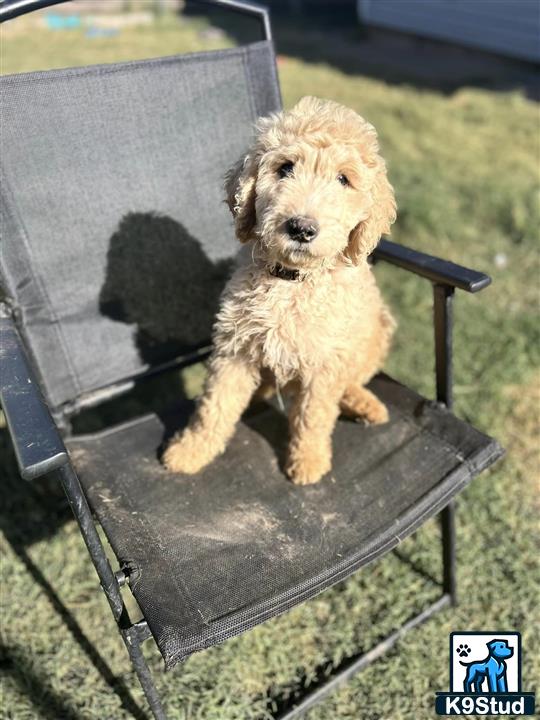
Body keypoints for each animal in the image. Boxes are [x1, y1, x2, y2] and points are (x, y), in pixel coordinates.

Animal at [165, 94, 396, 484]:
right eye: (285, 168)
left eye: (343, 179)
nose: (301, 228)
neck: (291, 281)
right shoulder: (235, 348)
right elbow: (215, 406)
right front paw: (190, 451)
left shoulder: (324, 362)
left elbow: (314, 416)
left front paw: (309, 462)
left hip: (377, 330)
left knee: (351, 380)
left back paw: (364, 404)